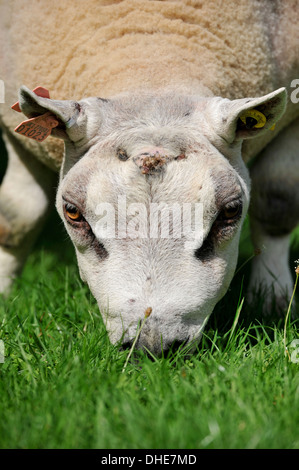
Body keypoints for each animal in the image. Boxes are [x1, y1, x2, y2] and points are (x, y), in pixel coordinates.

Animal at [0, 0, 298, 354]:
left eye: (230, 212)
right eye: (73, 213)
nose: (153, 346)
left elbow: (277, 200)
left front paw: (273, 298)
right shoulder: (14, 132)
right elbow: (17, 214)